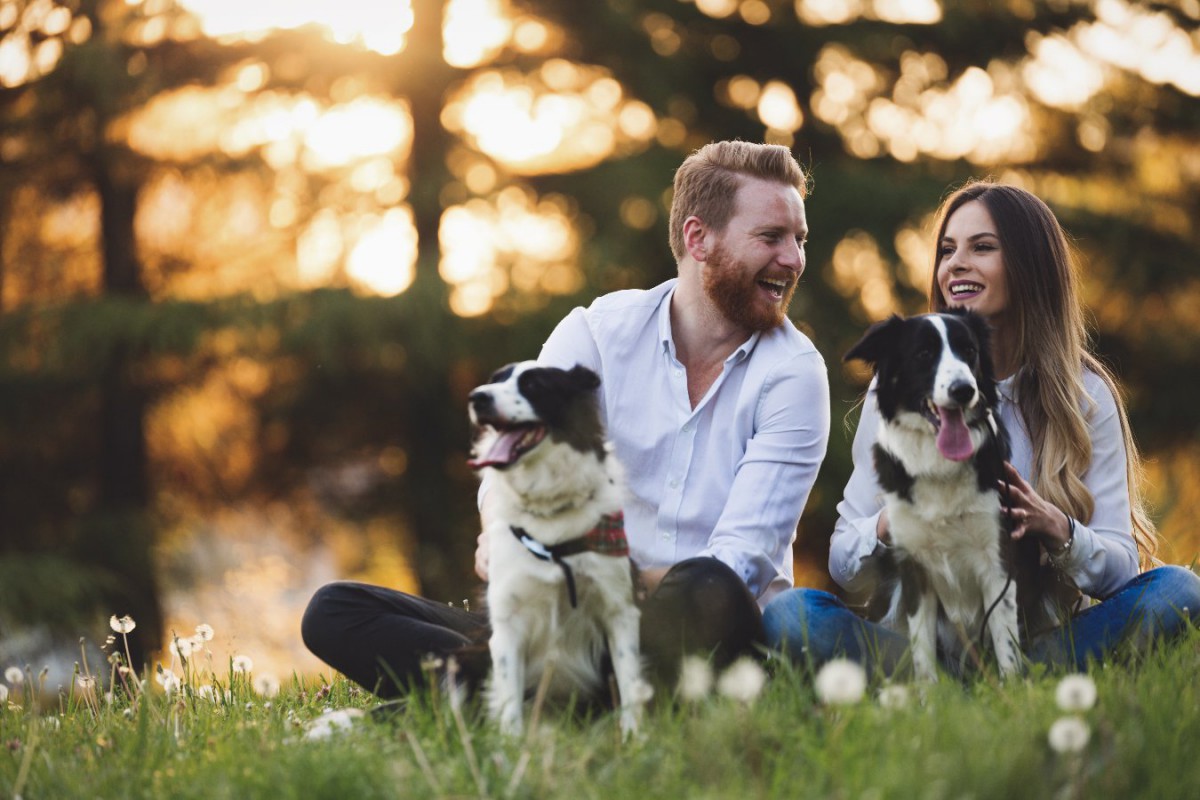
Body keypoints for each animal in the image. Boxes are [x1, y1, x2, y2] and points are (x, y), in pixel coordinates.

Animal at [468, 362, 652, 738]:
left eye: (534, 385)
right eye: (494, 380)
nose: (477, 398)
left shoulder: (619, 608)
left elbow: (629, 682)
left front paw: (634, 738)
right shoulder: (507, 621)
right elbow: (508, 700)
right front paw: (510, 745)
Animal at [849, 311, 1036, 681]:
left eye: (969, 351)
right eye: (923, 354)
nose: (964, 390)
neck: (940, 465)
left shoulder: (998, 562)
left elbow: (1006, 648)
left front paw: (1013, 690)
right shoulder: (914, 567)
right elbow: (922, 656)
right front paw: (928, 695)